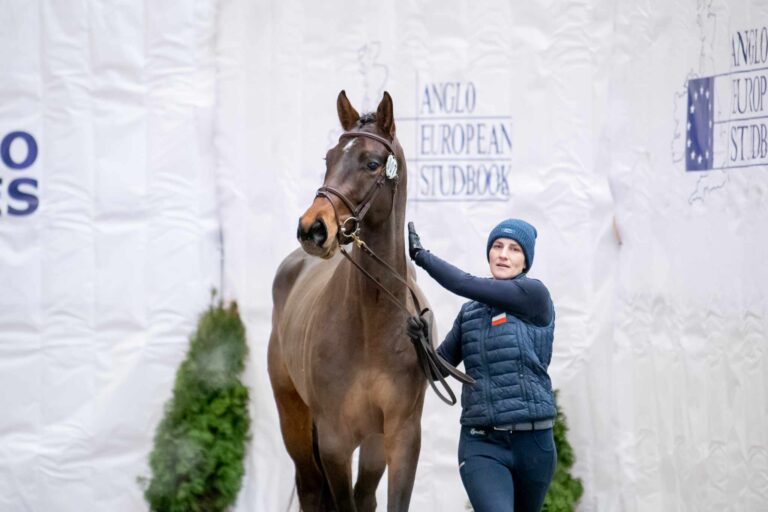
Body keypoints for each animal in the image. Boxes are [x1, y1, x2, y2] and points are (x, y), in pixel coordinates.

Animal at [268, 91, 430, 512]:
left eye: (372, 163)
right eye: (328, 159)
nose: (312, 228)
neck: (372, 321)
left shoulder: (401, 437)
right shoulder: (334, 442)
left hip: (372, 443)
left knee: (365, 495)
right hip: (293, 418)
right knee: (310, 488)